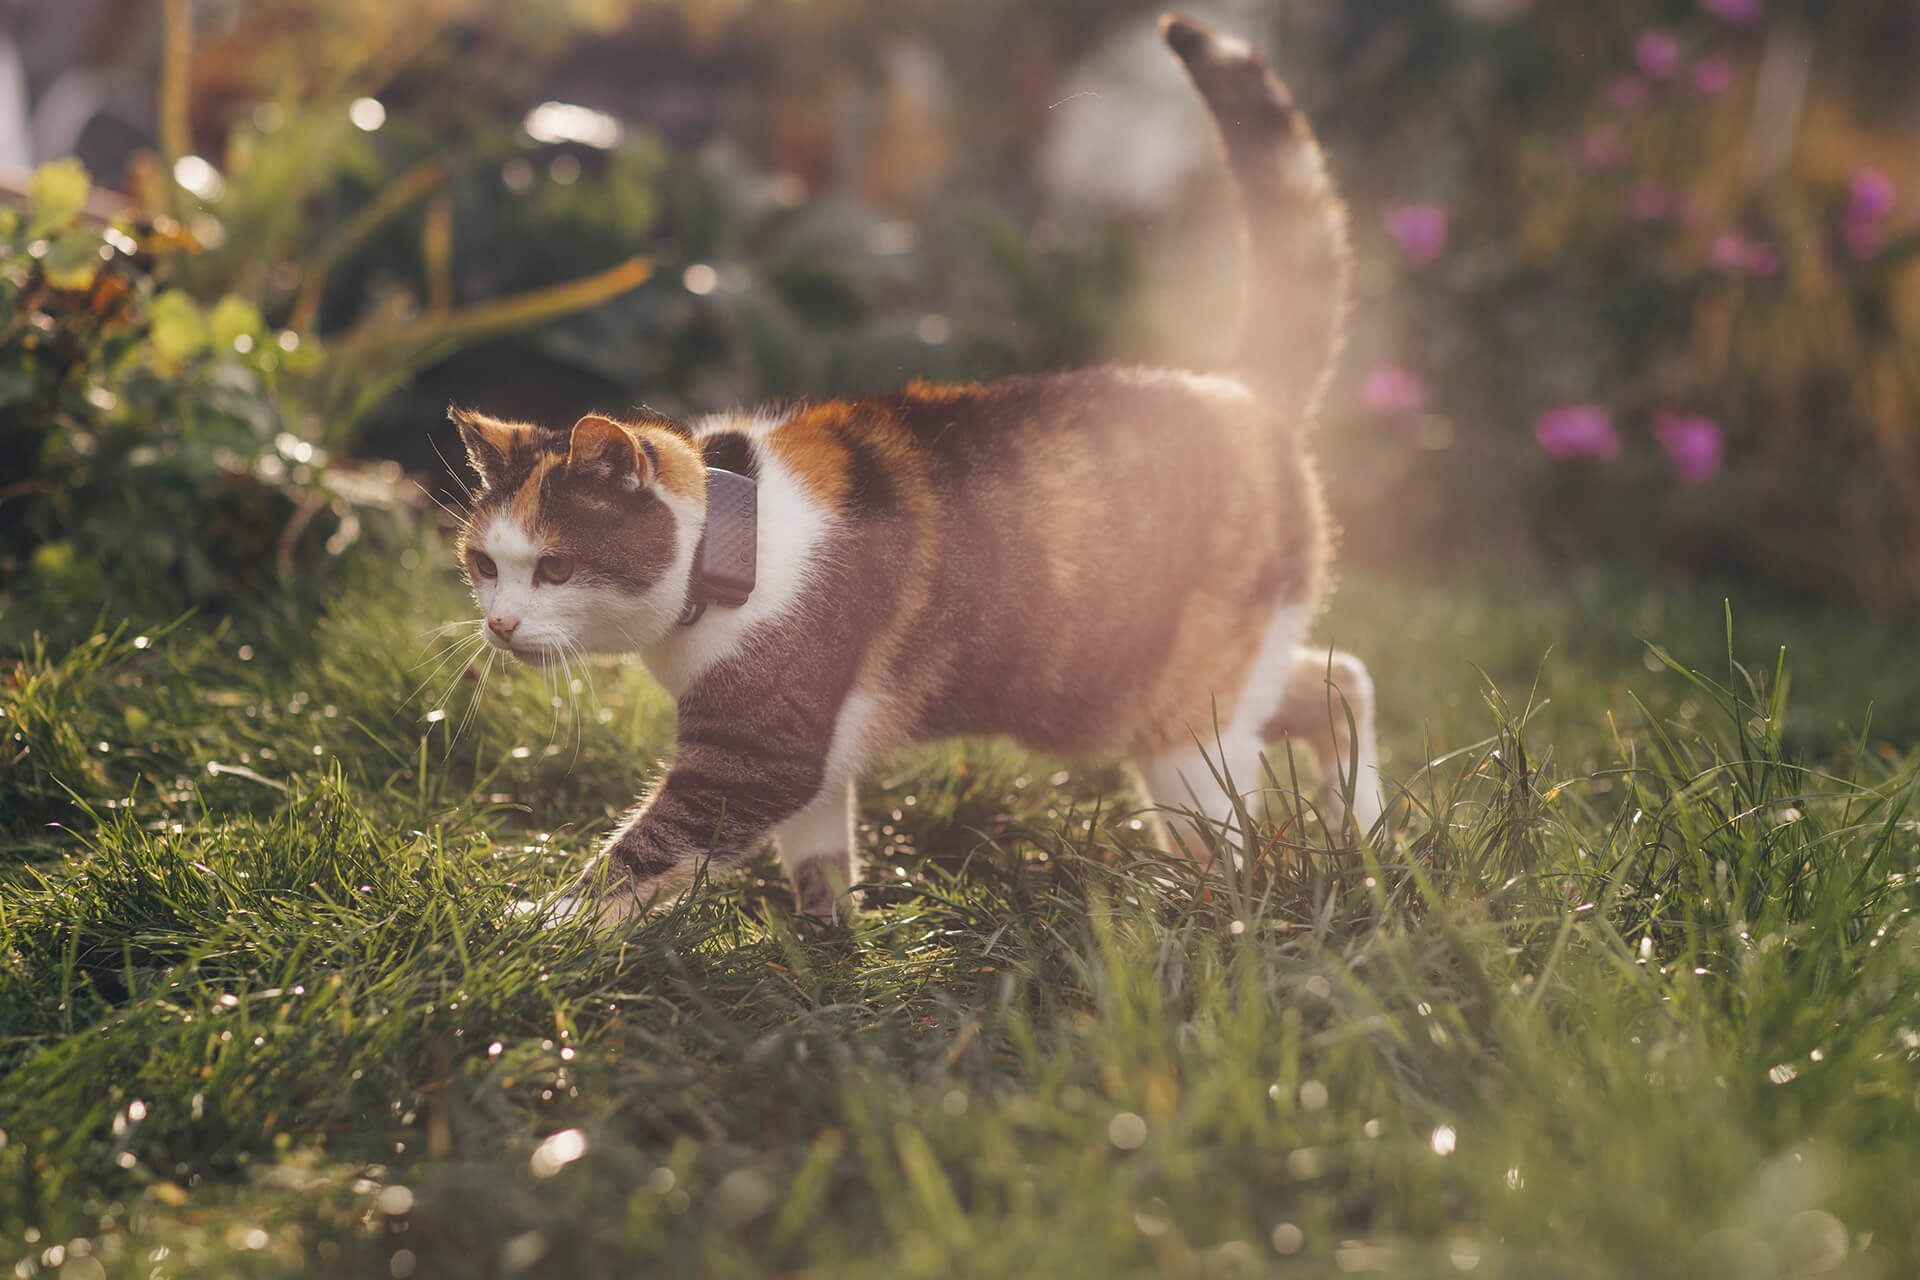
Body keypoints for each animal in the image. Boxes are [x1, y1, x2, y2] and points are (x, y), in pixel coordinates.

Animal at [449, 14, 1382, 924]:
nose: (498, 625)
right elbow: (820, 861)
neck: (732, 543)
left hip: (1182, 717)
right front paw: (823, 946)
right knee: (1340, 680)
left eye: (555, 567)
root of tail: (1240, 392)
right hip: (1165, 685)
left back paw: (1219, 905)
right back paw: (1365, 837)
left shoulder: (757, 754)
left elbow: (641, 855)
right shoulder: (814, 753)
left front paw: (533, 929)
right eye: (484, 564)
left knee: (1231, 830)